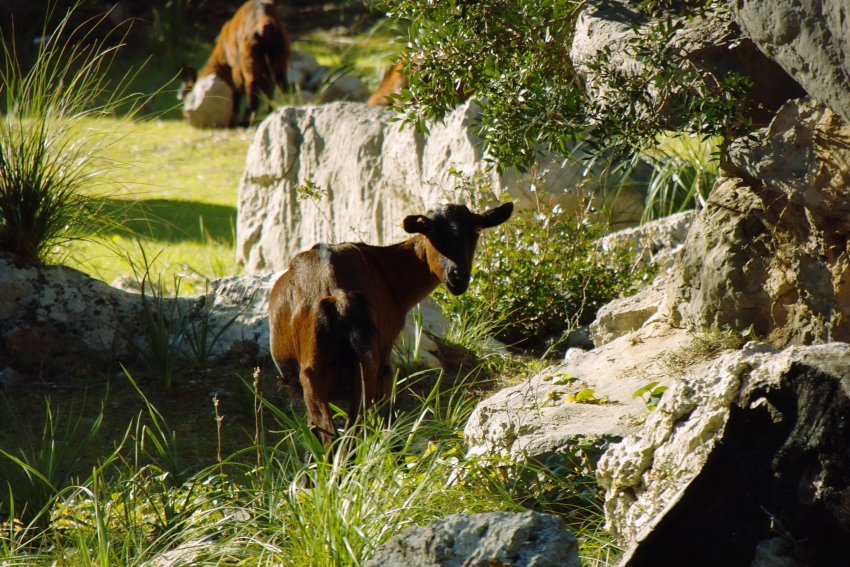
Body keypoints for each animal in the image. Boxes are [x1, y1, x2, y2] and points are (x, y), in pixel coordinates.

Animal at [268, 202, 512, 446]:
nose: (458, 277)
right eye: (431, 231)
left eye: (476, 230)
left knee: (335, 433)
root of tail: (336, 295)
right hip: (357, 368)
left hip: (325, 373)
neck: (387, 272)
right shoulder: (386, 358)